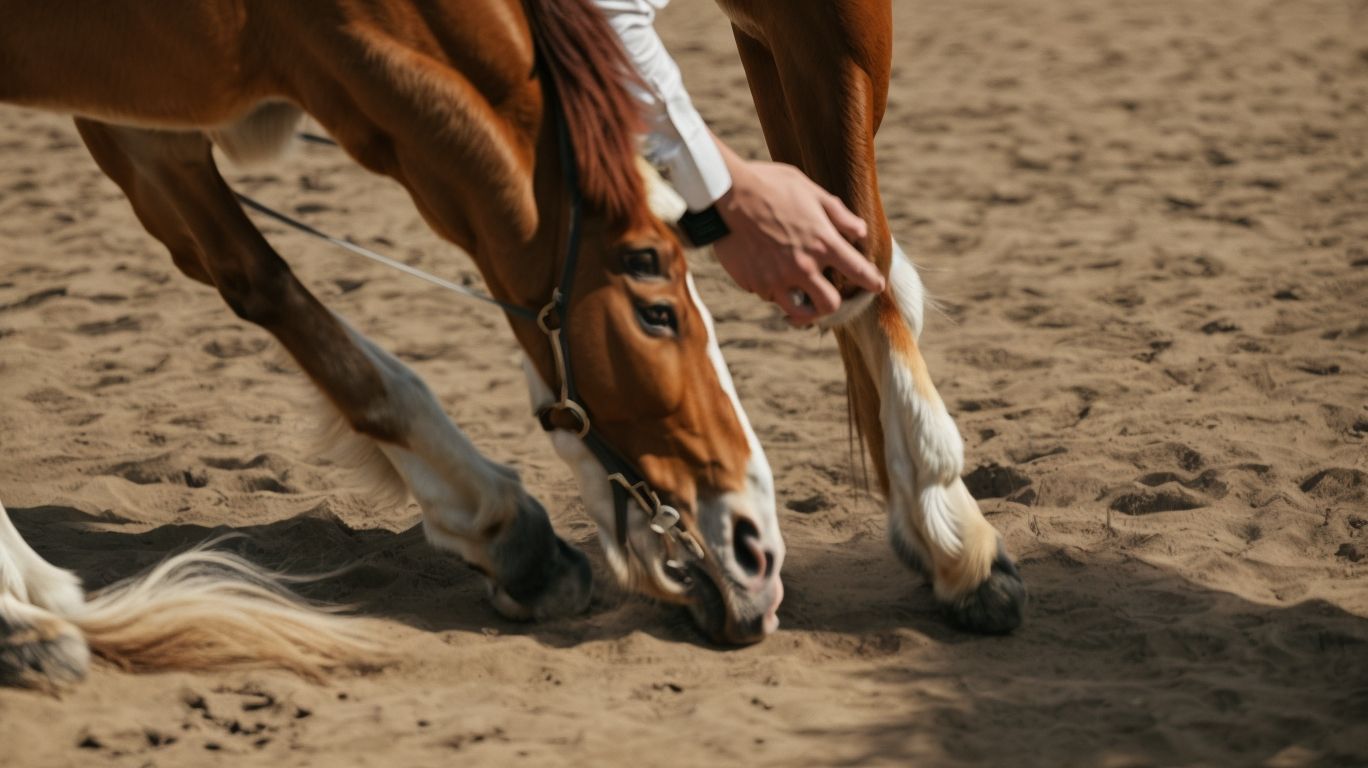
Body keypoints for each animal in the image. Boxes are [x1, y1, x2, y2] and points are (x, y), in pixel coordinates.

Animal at [0, 0, 783, 688]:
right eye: (656, 311)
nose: (758, 552)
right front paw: (18, 623)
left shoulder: (146, 123)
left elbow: (267, 287)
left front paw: (511, 538)